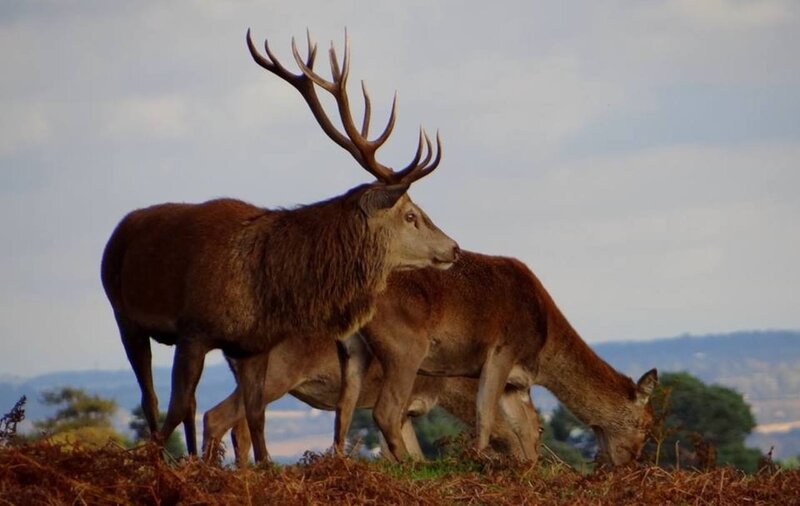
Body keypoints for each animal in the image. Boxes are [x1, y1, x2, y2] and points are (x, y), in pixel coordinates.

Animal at [100, 30, 460, 463]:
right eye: (410, 215)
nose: (454, 248)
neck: (268, 284)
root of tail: (120, 229)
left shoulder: (255, 345)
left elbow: (255, 415)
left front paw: (262, 466)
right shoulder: (193, 330)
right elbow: (180, 404)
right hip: (124, 316)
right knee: (154, 399)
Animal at [201, 332, 540, 466]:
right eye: (538, 429)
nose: (534, 462)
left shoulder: (407, 411)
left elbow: (415, 455)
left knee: (239, 428)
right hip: (276, 377)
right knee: (214, 416)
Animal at [333, 251, 658, 466]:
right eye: (645, 424)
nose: (630, 462)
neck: (543, 346)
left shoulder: (516, 383)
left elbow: (528, 428)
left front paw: (529, 468)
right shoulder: (502, 351)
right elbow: (486, 414)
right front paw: (477, 460)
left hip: (352, 347)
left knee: (344, 406)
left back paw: (339, 462)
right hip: (406, 348)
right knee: (385, 411)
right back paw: (411, 465)